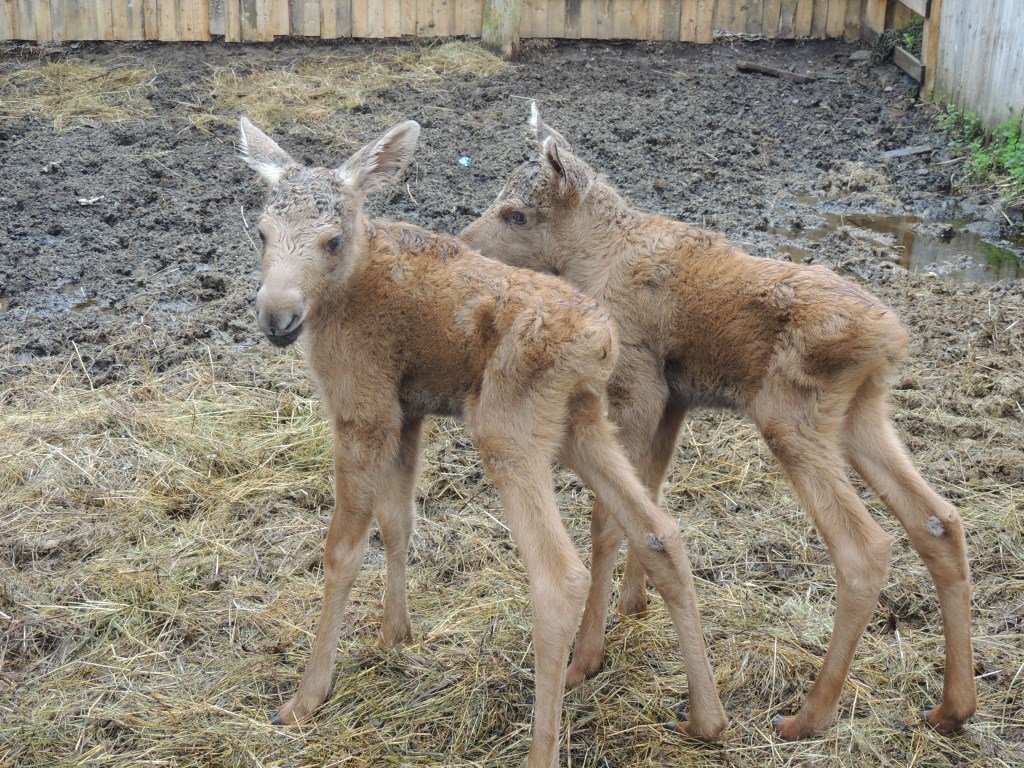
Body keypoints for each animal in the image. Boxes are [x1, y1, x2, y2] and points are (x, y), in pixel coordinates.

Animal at [234, 115, 729, 768]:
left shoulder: (363, 406)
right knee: (660, 531)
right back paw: (707, 715)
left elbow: (342, 549)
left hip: (506, 426)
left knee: (560, 575)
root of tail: (599, 341)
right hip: (583, 424)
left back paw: (543, 747)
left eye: (332, 240)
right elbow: (399, 522)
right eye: (261, 233)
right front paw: (396, 636)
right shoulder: (409, 410)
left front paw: (307, 696)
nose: (276, 316)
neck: (342, 298)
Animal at [462, 105, 974, 741]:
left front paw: (587, 657)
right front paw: (634, 605)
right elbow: (651, 493)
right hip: (861, 414)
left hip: (789, 412)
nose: (463, 249)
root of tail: (892, 339)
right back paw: (953, 706)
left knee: (865, 548)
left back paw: (808, 715)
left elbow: (608, 519)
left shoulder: (638, 383)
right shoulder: (675, 398)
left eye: (517, 213)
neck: (591, 259)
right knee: (938, 520)